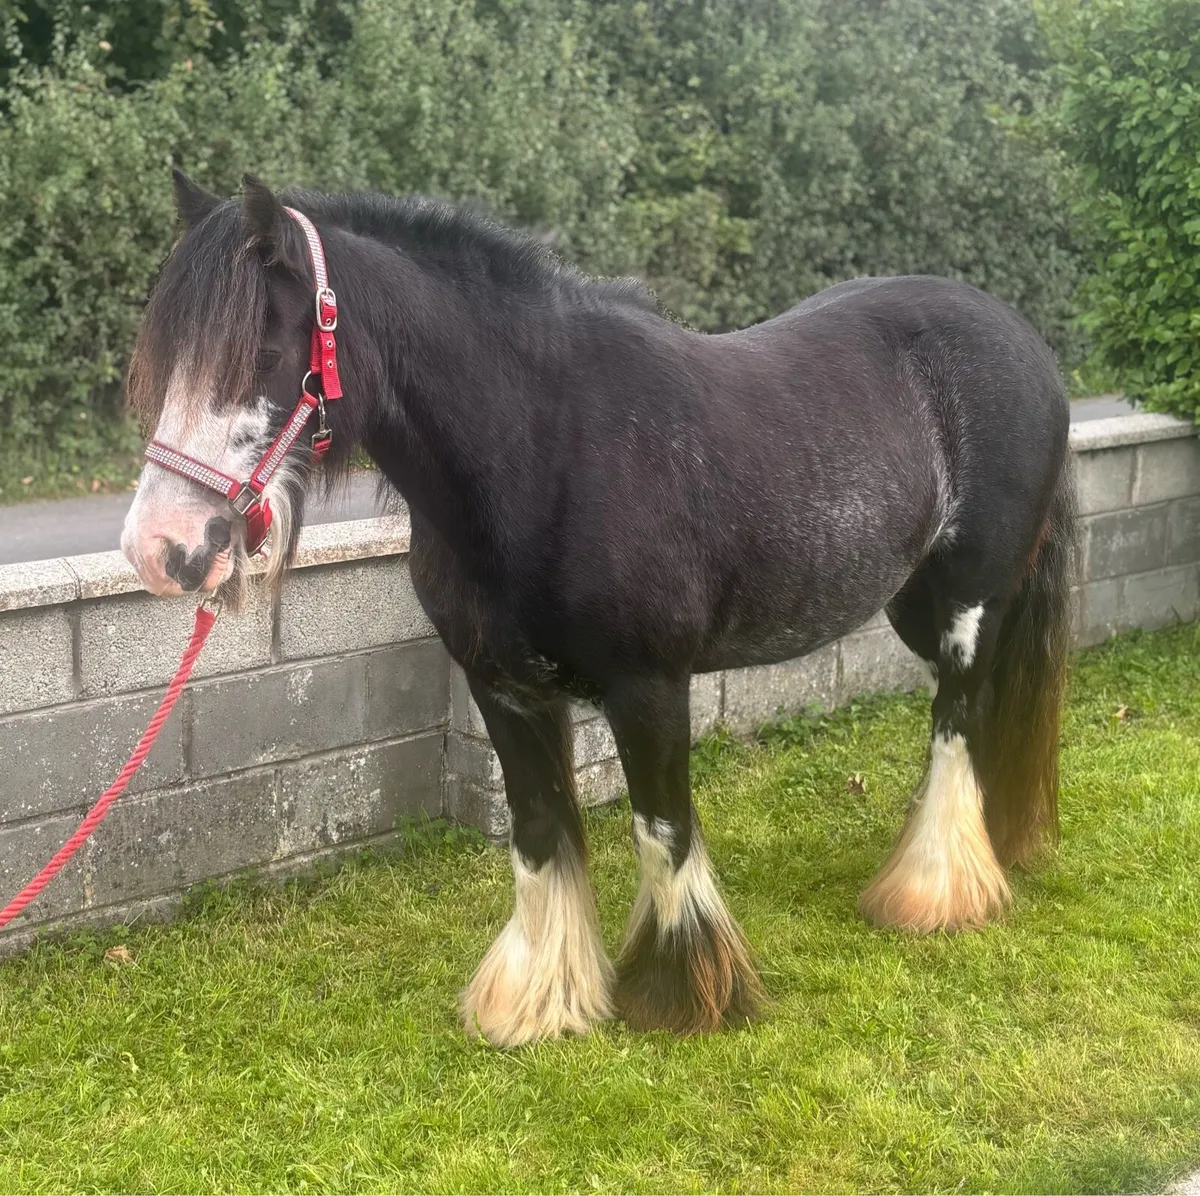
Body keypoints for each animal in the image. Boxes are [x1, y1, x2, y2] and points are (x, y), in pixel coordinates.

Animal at [121, 171, 1075, 1047]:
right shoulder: (502, 687)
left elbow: (662, 826)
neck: (547, 447)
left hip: (969, 604)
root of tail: (1021, 338)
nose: (159, 549)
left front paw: (684, 992)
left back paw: (932, 891)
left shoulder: (650, 685)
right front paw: (539, 1003)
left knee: (957, 717)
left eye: (261, 350)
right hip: (915, 606)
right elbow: (540, 830)